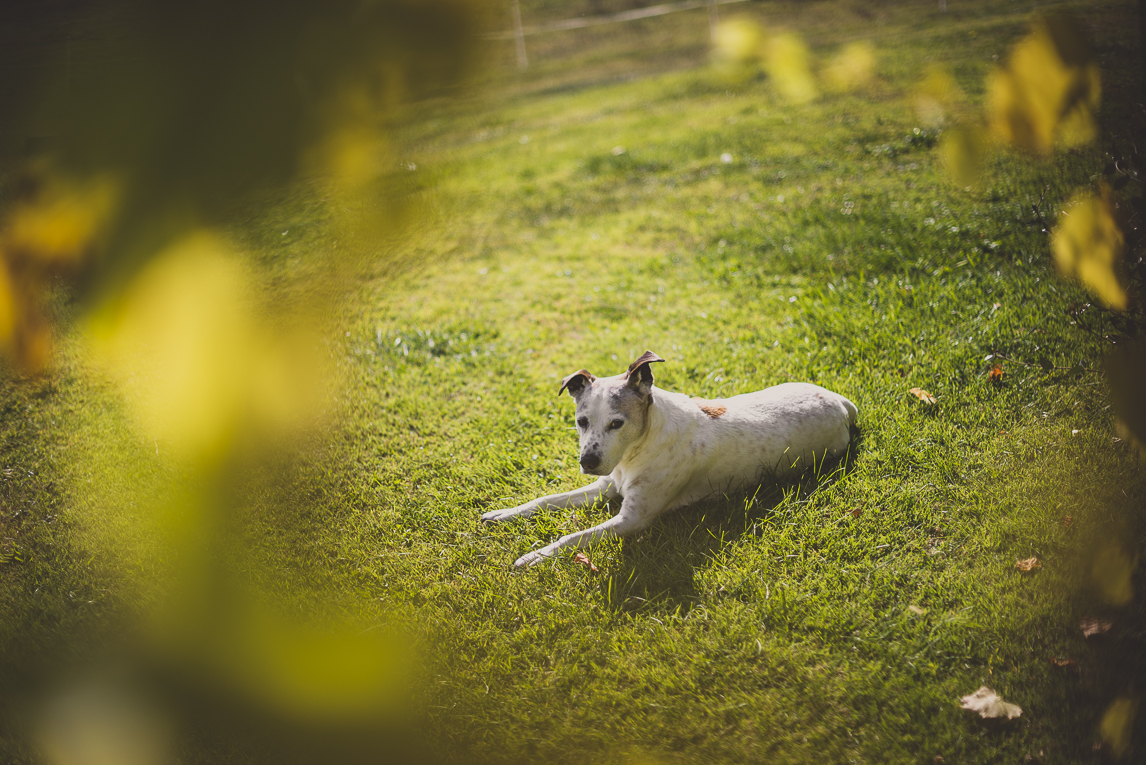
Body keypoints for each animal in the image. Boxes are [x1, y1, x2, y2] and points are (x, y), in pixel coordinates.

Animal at [479, 352, 857, 568]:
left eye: (617, 423)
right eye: (581, 421)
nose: (587, 462)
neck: (638, 448)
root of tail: (839, 401)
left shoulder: (632, 519)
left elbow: (573, 538)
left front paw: (535, 556)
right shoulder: (606, 484)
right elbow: (545, 499)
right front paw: (505, 513)